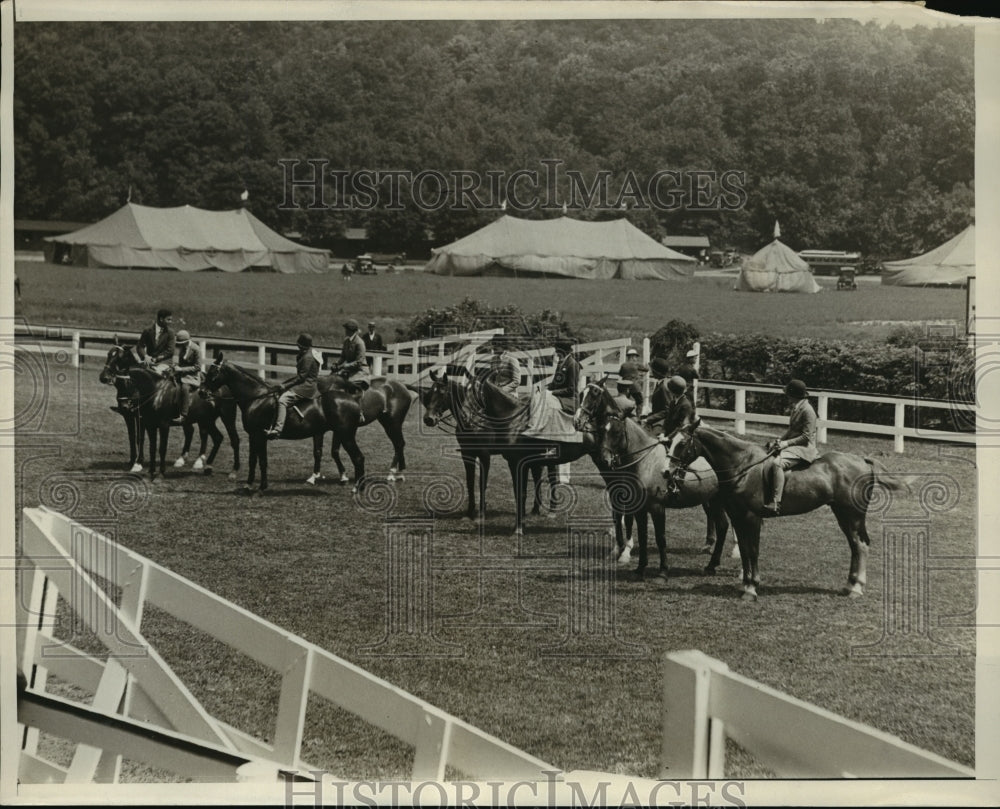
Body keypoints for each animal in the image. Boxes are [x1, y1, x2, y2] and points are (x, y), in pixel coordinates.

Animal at [576, 384, 732, 580]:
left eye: (617, 432)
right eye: (603, 431)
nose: (605, 460)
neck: (645, 461)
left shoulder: (657, 507)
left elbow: (660, 538)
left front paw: (662, 571)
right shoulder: (639, 507)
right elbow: (642, 535)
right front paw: (640, 568)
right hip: (714, 501)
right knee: (722, 526)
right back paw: (712, 564)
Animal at [668, 416, 912, 600]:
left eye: (682, 444)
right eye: (670, 440)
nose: (668, 472)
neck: (743, 465)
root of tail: (862, 460)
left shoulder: (751, 518)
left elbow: (753, 550)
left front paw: (751, 588)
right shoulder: (738, 517)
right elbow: (745, 551)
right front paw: (745, 584)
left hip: (852, 514)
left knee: (860, 545)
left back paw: (856, 589)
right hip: (843, 514)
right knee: (855, 545)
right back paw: (850, 585)